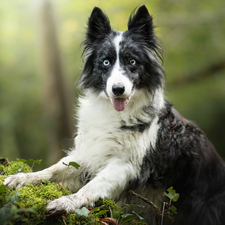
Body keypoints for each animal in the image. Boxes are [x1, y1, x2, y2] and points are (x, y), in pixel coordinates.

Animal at [3, 5, 225, 225]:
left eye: (132, 61)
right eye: (106, 62)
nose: (118, 89)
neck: (115, 113)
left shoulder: (126, 165)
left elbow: (91, 186)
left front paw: (67, 202)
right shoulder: (90, 151)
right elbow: (55, 168)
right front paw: (24, 177)